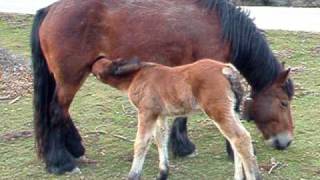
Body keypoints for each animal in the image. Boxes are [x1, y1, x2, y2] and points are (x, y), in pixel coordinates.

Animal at [90, 57, 260, 180]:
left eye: (103, 63)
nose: (94, 61)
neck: (135, 77)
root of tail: (226, 69)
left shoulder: (147, 112)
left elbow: (141, 143)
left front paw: (133, 176)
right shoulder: (159, 115)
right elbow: (160, 139)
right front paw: (163, 173)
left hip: (218, 111)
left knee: (241, 138)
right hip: (231, 111)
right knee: (235, 141)